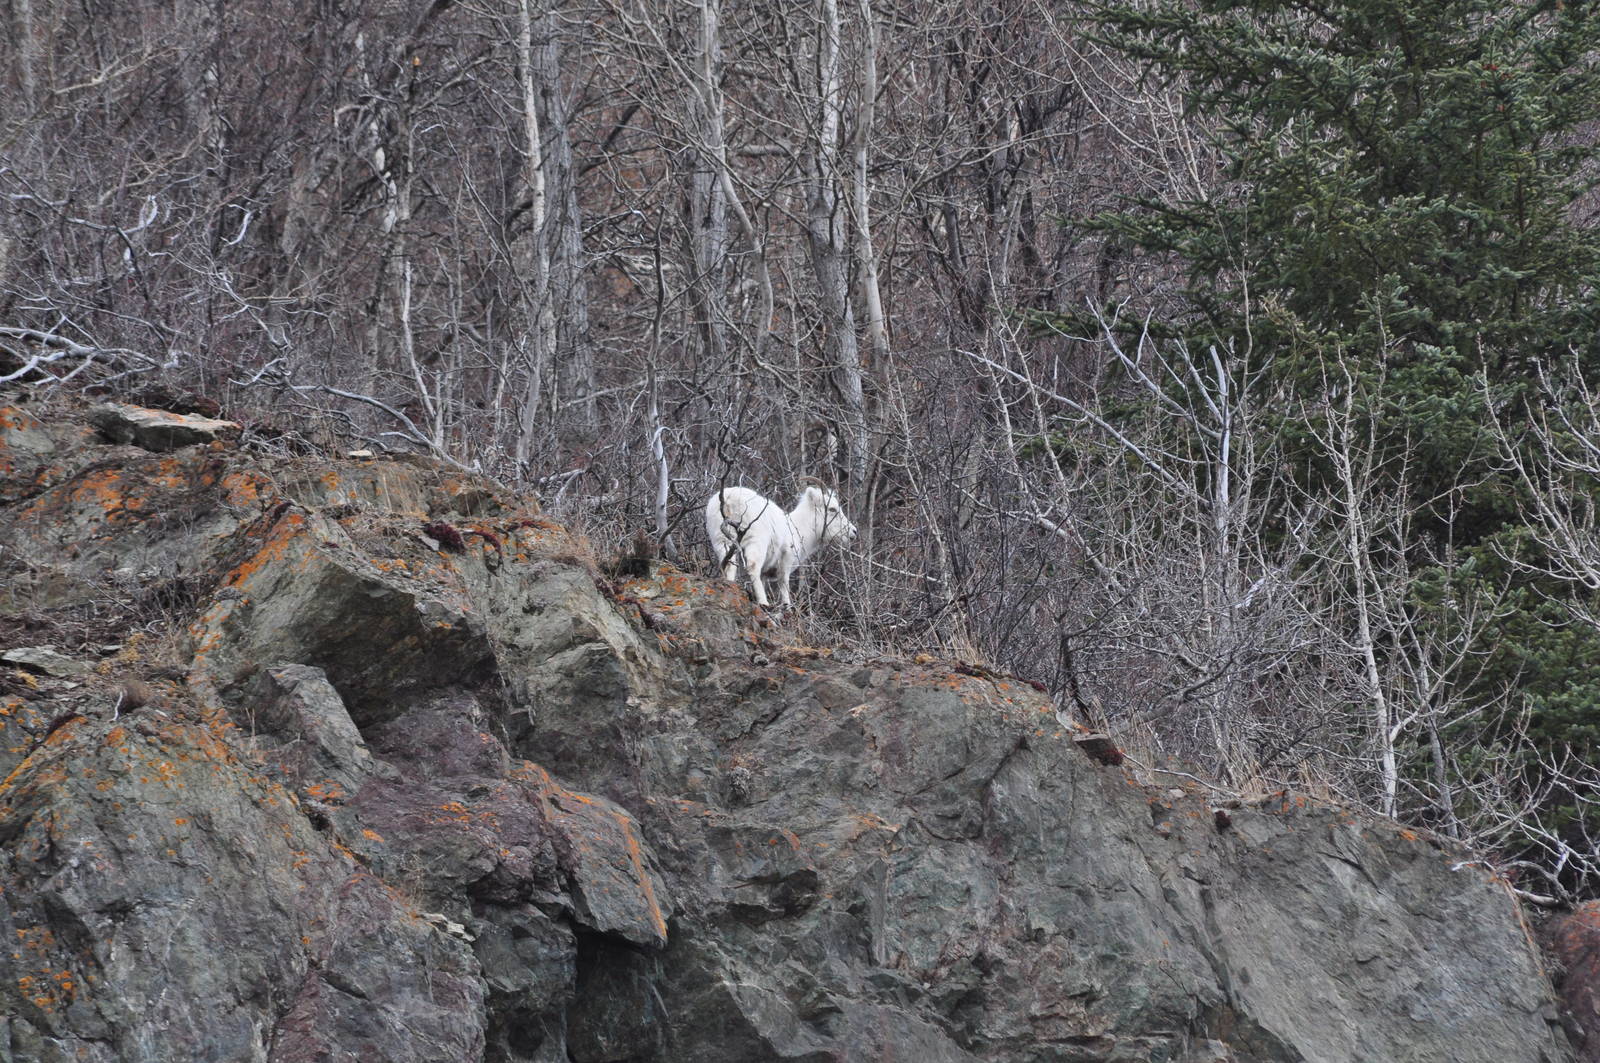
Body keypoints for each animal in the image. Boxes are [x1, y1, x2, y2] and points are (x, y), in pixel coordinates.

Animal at [704, 483, 857, 608]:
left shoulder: (766, 573)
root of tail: (729, 499)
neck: (797, 528)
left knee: (730, 565)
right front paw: (787, 606)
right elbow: (784, 584)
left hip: (722, 541)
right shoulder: (786, 560)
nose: (854, 531)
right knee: (752, 566)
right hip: (755, 542)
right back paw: (764, 603)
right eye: (832, 509)